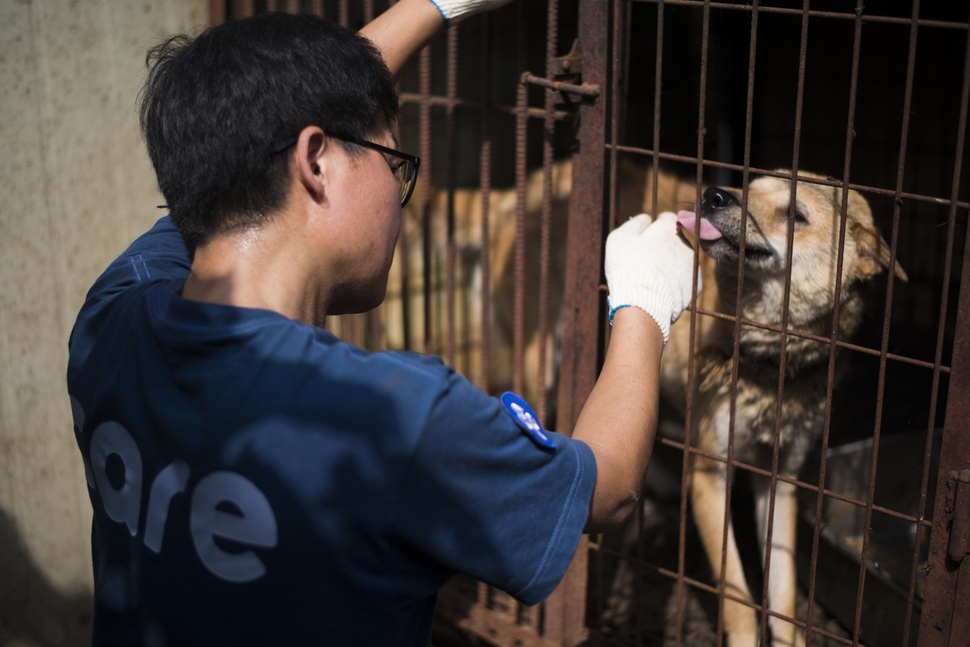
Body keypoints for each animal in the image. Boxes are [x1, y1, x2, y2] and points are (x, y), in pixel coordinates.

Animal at [660, 172, 904, 647]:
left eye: (796, 214)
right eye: (749, 185)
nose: (713, 195)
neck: (771, 363)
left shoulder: (780, 482)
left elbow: (784, 591)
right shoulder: (708, 475)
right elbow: (737, 595)